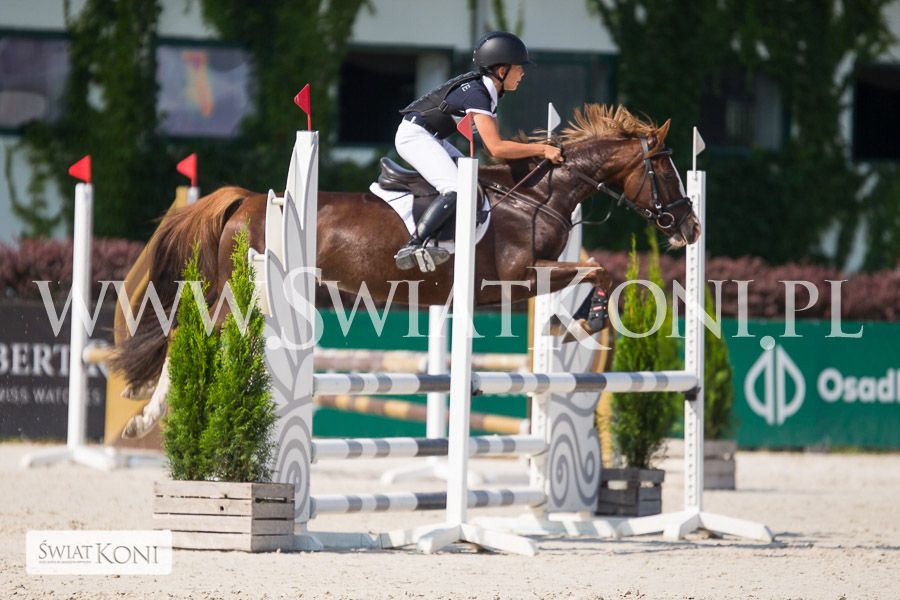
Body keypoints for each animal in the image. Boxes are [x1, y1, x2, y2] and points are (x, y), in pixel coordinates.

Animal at [112, 104, 701, 437]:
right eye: (665, 168)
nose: (689, 227)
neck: (532, 198)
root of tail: (246, 199)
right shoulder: (517, 277)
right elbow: (598, 269)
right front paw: (588, 318)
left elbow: (593, 270)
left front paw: (571, 322)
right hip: (238, 292)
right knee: (187, 333)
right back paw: (147, 417)